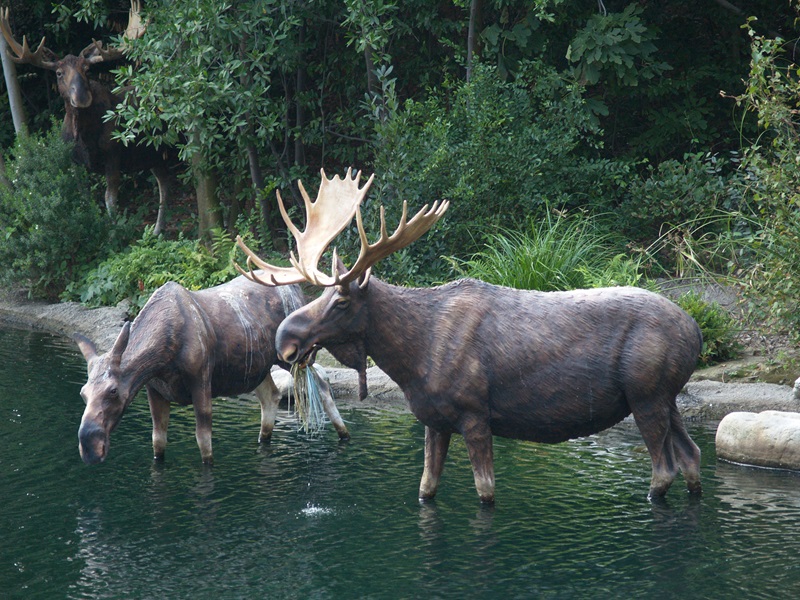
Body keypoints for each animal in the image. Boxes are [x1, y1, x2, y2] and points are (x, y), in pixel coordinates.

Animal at [0, 1, 177, 235]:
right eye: (58, 73)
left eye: (86, 69)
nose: (82, 97)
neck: (85, 137)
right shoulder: (75, 162)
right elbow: (86, 201)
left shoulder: (113, 156)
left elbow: (110, 200)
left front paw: (115, 235)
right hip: (153, 156)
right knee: (164, 182)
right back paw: (157, 230)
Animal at [73, 274, 351, 466]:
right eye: (83, 393)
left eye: (113, 391)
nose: (90, 447)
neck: (162, 354)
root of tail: (296, 289)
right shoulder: (154, 389)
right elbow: (158, 441)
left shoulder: (201, 382)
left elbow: (204, 443)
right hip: (258, 367)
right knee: (270, 396)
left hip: (296, 356)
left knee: (322, 380)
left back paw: (344, 434)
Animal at [235, 168, 704, 504]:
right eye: (322, 294)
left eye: (342, 301)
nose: (285, 338)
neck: (411, 359)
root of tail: (696, 333)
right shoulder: (434, 418)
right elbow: (425, 490)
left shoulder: (476, 412)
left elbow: (485, 491)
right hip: (665, 397)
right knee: (692, 458)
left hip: (646, 394)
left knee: (665, 469)